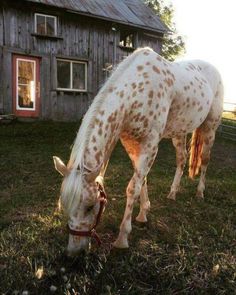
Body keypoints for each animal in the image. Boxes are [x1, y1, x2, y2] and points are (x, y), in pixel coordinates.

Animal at [53, 47, 223, 256]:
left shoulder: (150, 144)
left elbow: (133, 186)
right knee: (181, 160)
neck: (137, 90)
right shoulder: (131, 143)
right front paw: (143, 213)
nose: (73, 252)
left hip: (210, 127)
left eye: (90, 206)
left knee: (205, 160)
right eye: (65, 206)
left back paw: (200, 193)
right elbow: (142, 180)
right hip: (180, 132)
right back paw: (172, 193)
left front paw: (122, 238)